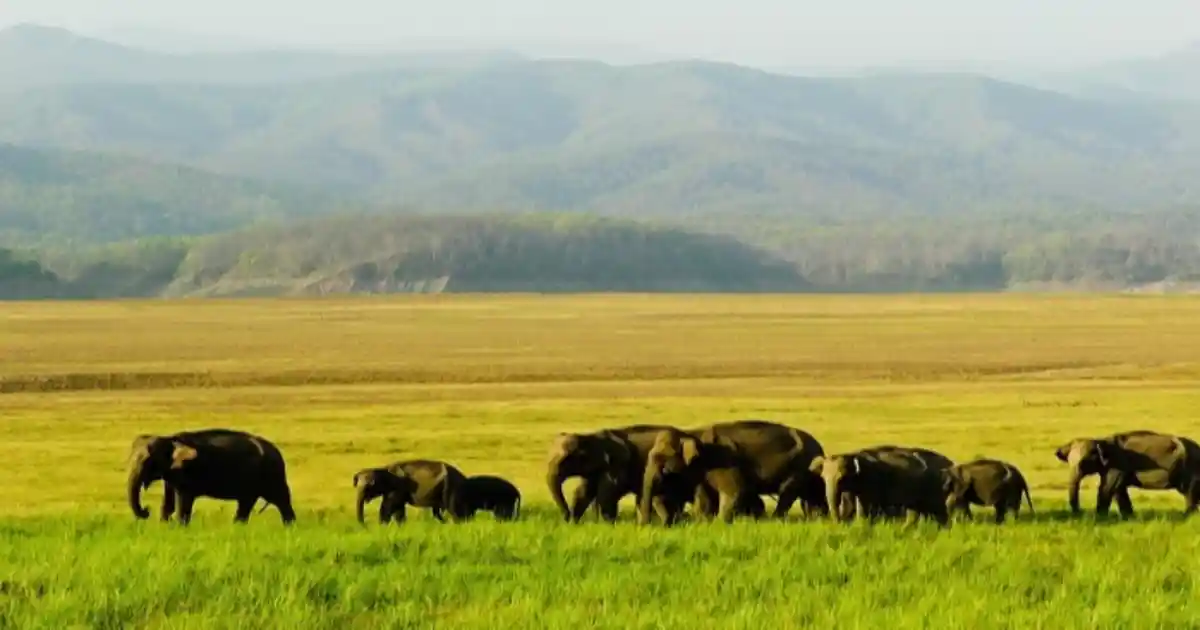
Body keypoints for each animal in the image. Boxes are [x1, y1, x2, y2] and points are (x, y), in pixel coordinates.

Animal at [125, 427, 296, 525]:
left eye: (148, 460)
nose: (146, 511)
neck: (170, 438)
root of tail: (278, 453)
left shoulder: (189, 471)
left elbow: (184, 502)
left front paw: (180, 527)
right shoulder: (172, 473)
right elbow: (168, 502)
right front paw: (164, 525)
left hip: (272, 474)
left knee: (281, 500)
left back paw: (290, 526)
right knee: (247, 504)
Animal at [643, 420, 830, 523]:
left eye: (660, 459)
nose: (644, 525)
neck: (691, 433)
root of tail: (820, 447)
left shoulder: (724, 460)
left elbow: (734, 491)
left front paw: (719, 524)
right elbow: (705, 498)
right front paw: (704, 522)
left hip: (800, 467)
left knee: (788, 492)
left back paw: (776, 520)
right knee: (813, 495)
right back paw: (819, 519)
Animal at [811, 441, 950, 525]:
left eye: (841, 478)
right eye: (822, 477)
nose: (837, 522)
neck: (853, 455)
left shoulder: (870, 480)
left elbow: (863, 507)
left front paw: (861, 524)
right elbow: (849, 505)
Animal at [1051, 429, 1200, 518]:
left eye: (1084, 463)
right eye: (1068, 462)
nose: (1080, 513)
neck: (1100, 441)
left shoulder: (1117, 463)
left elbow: (1107, 488)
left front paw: (1100, 518)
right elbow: (1119, 490)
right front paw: (1128, 517)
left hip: (1191, 468)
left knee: (1189, 492)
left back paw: (1187, 516)